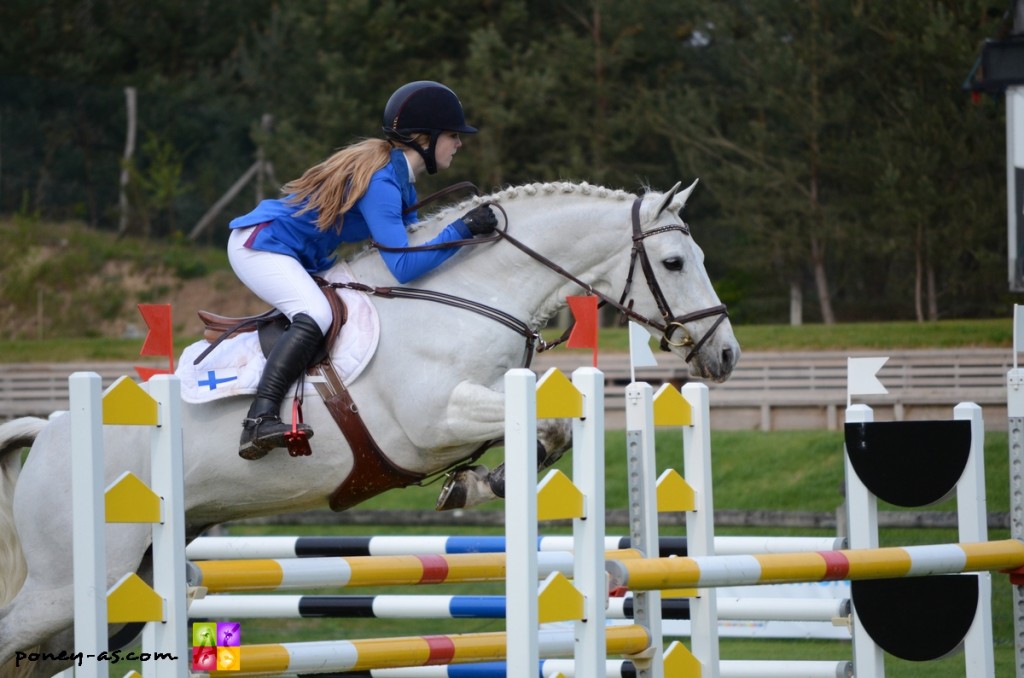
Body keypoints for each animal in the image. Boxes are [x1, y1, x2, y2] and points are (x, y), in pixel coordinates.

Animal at [0, 179, 737, 675]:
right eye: (674, 263)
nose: (725, 355)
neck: (471, 292)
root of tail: (50, 430)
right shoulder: (432, 421)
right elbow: (548, 423)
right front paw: (477, 484)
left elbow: (551, 432)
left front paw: (479, 482)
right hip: (72, 582)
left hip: (131, 585)